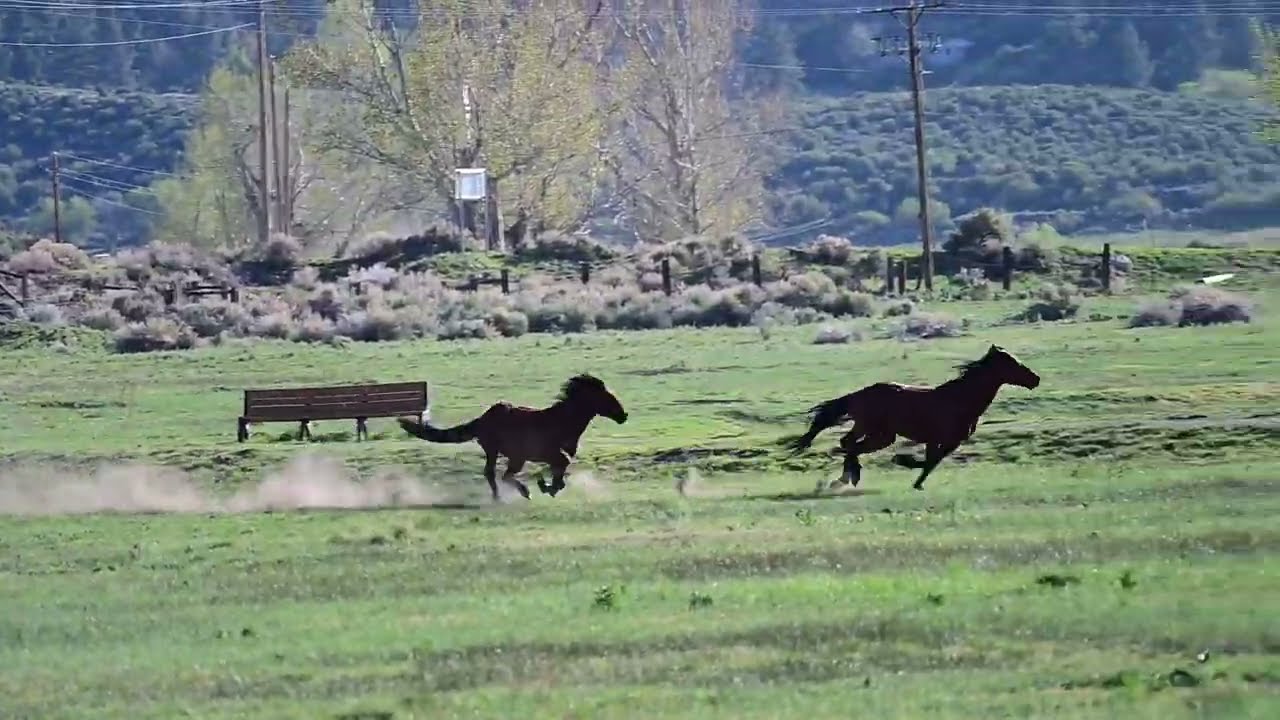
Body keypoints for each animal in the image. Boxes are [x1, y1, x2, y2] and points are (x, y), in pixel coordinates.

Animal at [397, 373, 628, 501]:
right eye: (605, 396)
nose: (623, 415)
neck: (564, 420)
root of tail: (483, 418)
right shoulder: (549, 452)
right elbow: (562, 465)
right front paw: (546, 487)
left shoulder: (550, 456)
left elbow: (561, 472)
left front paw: (548, 486)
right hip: (500, 451)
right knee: (495, 474)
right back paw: (511, 495)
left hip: (514, 456)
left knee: (500, 474)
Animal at [780, 344, 1041, 491]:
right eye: (1013, 363)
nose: (1035, 379)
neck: (961, 399)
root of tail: (860, 395)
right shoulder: (944, 440)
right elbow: (930, 462)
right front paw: (905, 465)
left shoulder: (944, 441)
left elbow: (932, 462)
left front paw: (915, 480)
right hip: (878, 432)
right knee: (850, 445)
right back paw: (849, 478)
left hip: (878, 432)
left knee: (849, 443)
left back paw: (847, 478)